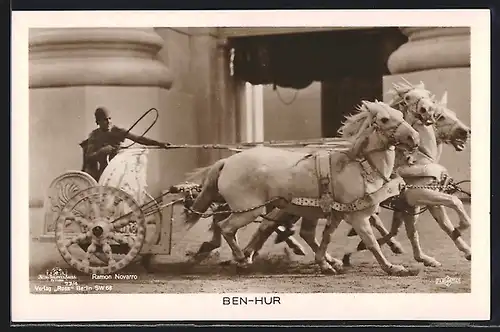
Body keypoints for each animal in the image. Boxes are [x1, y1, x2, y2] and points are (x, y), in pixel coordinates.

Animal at [186, 100, 420, 276]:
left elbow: (325, 237)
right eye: (384, 119)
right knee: (225, 227)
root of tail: (227, 162)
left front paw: (326, 263)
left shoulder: (335, 213)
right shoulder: (358, 217)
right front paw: (392, 267)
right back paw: (242, 258)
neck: (359, 165)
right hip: (250, 211)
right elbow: (371, 242)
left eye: (400, 114)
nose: (414, 138)